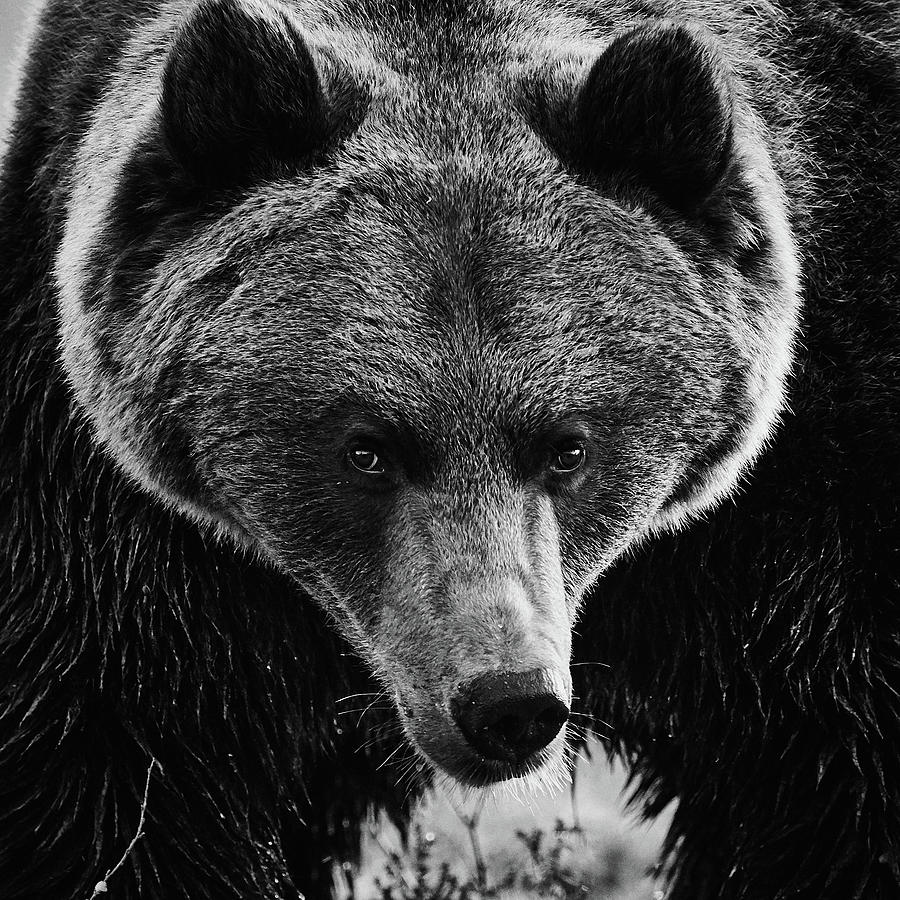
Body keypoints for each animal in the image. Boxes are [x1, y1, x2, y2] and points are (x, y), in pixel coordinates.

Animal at [0, 1, 896, 900]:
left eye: (569, 448)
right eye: (367, 450)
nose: (509, 704)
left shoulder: (795, 531)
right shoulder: (138, 546)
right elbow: (117, 769)